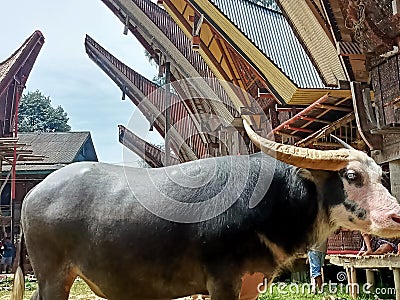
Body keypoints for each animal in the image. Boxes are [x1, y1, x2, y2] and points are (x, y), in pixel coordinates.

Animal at [10, 120, 400, 298]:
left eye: (381, 175)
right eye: (352, 176)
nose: (396, 216)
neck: (265, 205)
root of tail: (33, 195)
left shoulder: (250, 284)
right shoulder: (221, 282)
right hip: (53, 277)